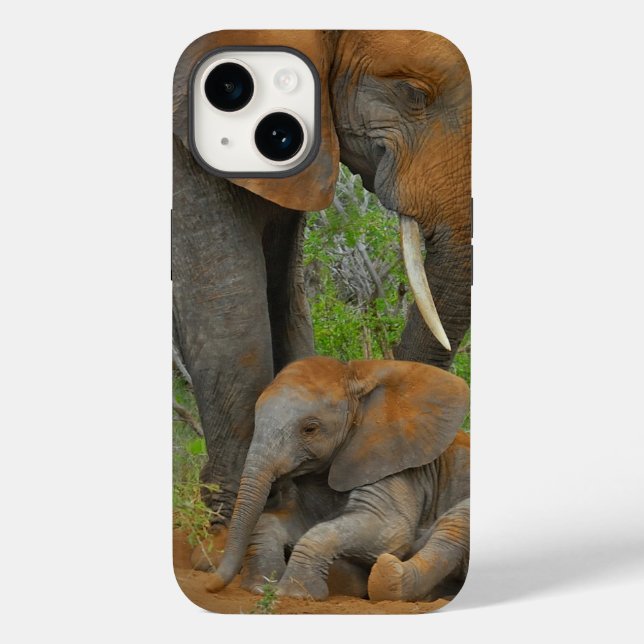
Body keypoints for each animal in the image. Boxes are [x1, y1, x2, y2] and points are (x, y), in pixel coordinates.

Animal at [204, 356, 470, 602]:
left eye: (310, 429)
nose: (210, 586)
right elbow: (285, 521)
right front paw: (261, 587)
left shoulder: (395, 463)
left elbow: (390, 530)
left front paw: (296, 594)